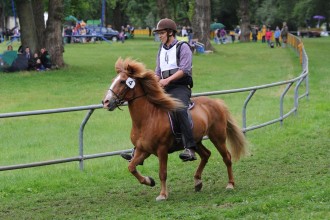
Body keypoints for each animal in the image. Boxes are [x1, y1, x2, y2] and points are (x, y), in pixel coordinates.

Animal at [103, 58, 248, 201]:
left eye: (122, 81)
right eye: (114, 80)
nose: (106, 102)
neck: (148, 118)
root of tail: (217, 102)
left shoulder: (162, 149)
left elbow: (162, 173)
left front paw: (162, 194)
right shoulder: (143, 150)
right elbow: (131, 167)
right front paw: (149, 181)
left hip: (217, 137)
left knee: (227, 157)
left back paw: (230, 184)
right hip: (196, 141)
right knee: (206, 155)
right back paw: (197, 182)